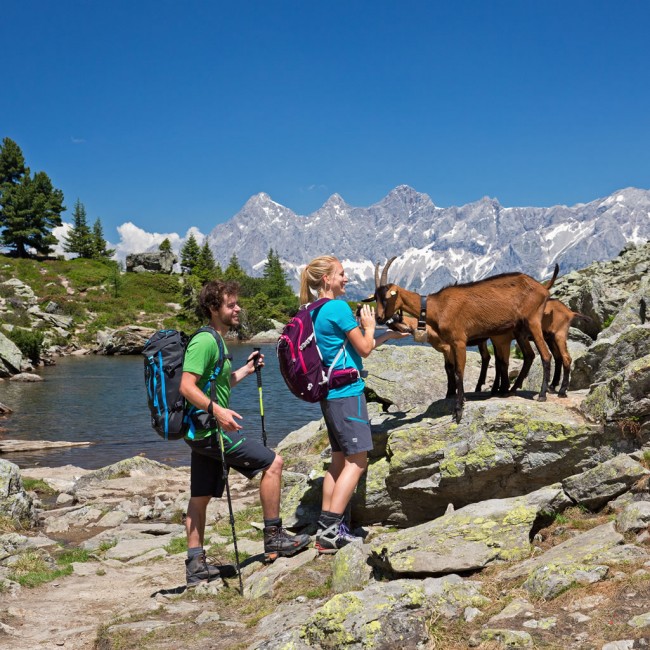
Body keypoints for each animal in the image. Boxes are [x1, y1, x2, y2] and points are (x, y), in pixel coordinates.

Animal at [367, 257, 559, 422]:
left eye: (387, 297)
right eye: (375, 298)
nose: (379, 319)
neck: (438, 306)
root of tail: (543, 288)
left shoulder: (459, 341)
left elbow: (459, 372)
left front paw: (458, 410)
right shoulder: (450, 344)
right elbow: (451, 370)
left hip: (532, 321)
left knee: (545, 355)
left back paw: (542, 395)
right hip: (519, 330)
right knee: (527, 356)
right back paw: (510, 390)